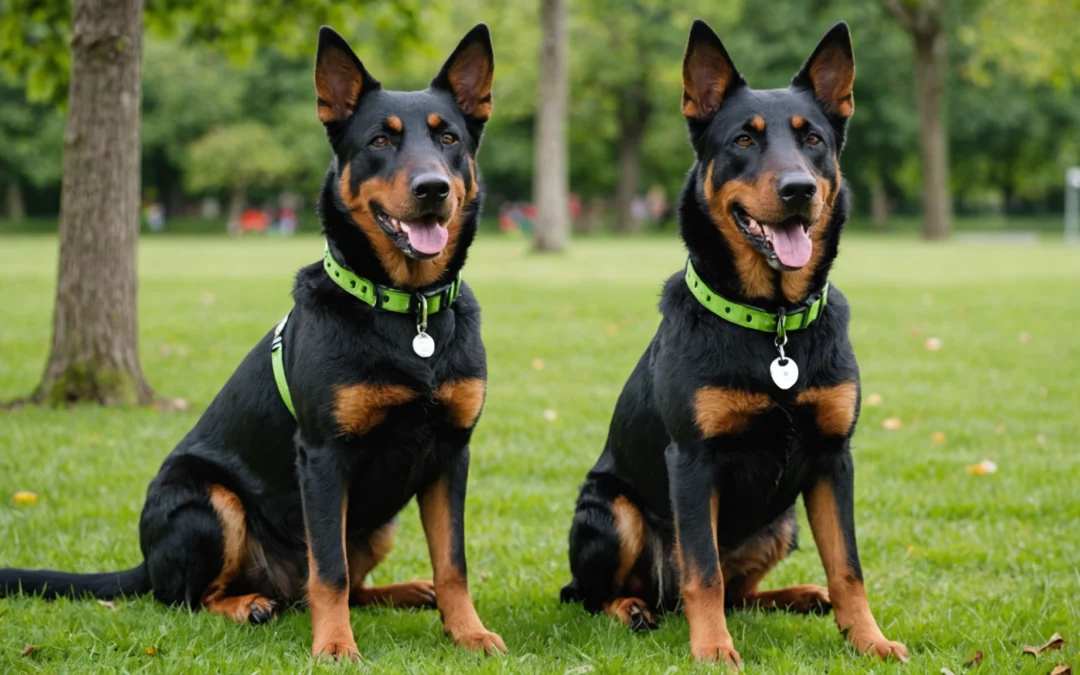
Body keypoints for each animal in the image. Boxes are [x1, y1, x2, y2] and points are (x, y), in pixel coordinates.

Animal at [1, 24, 505, 656]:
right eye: (379, 142)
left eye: (449, 139)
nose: (432, 188)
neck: (407, 316)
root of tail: (146, 563)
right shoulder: (322, 458)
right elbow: (330, 571)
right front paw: (334, 647)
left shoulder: (451, 455)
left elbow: (452, 562)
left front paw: (468, 631)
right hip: (212, 501)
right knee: (192, 597)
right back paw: (248, 605)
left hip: (377, 524)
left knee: (345, 585)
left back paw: (407, 590)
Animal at [561, 19, 907, 665]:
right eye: (744, 140)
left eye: (813, 140)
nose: (799, 189)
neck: (772, 324)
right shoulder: (694, 464)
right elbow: (704, 572)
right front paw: (714, 650)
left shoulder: (833, 459)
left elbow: (848, 567)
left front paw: (869, 639)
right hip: (613, 511)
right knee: (596, 594)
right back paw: (632, 608)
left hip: (782, 522)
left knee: (746, 590)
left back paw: (800, 595)